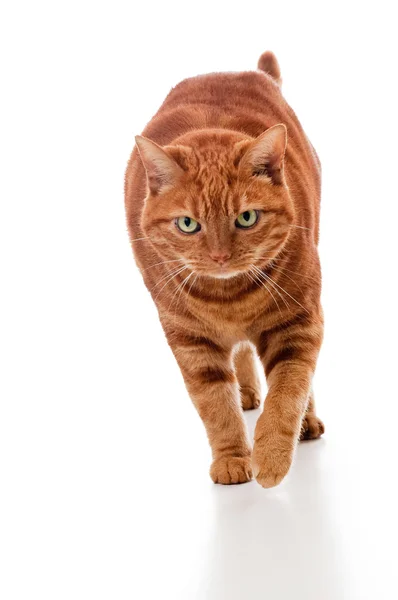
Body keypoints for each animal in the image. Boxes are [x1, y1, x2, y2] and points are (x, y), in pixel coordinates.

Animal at [124, 51, 324, 488]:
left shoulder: (298, 322)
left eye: (246, 218)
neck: (229, 299)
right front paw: (233, 458)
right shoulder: (190, 340)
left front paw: (270, 457)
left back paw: (308, 422)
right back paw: (246, 392)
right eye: (188, 224)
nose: (218, 257)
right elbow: (215, 405)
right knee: (242, 357)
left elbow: (288, 391)